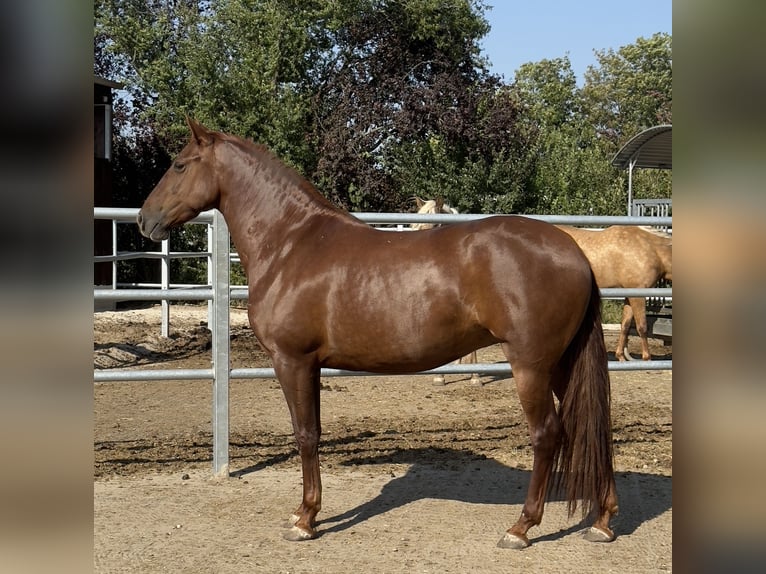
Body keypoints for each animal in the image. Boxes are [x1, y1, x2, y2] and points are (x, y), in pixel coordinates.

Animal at [136, 120, 616, 548]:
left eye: (179, 165)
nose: (143, 220)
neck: (291, 243)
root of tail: (573, 252)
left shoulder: (292, 360)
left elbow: (305, 435)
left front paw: (306, 519)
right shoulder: (311, 365)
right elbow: (314, 432)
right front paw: (305, 512)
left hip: (531, 365)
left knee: (548, 434)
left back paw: (521, 528)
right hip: (562, 363)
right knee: (594, 427)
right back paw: (602, 521)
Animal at [560, 225, 672, 360]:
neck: (651, 250)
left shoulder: (629, 295)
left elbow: (625, 325)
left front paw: (621, 357)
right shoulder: (638, 294)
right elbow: (642, 326)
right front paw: (647, 358)